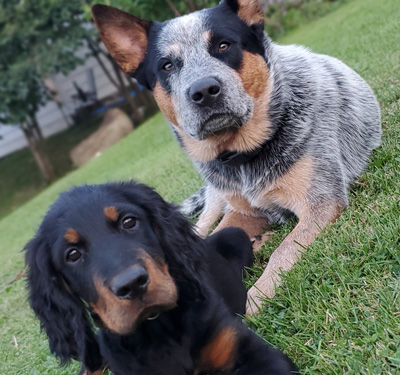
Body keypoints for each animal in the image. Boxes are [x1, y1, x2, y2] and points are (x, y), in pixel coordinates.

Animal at [25, 181, 298, 374]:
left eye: (129, 222)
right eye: (72, 255)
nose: (132, 284)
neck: (158, 328)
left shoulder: (248, 350)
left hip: (232, 236)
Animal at [91, 0, 382, 316]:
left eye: (223, 45)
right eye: (167, 65)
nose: (203, 90)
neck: (244, 156)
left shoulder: (321, 202)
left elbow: (283, 251)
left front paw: (254, 298)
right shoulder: (242, 212)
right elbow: (210, 240)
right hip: (216, 199)